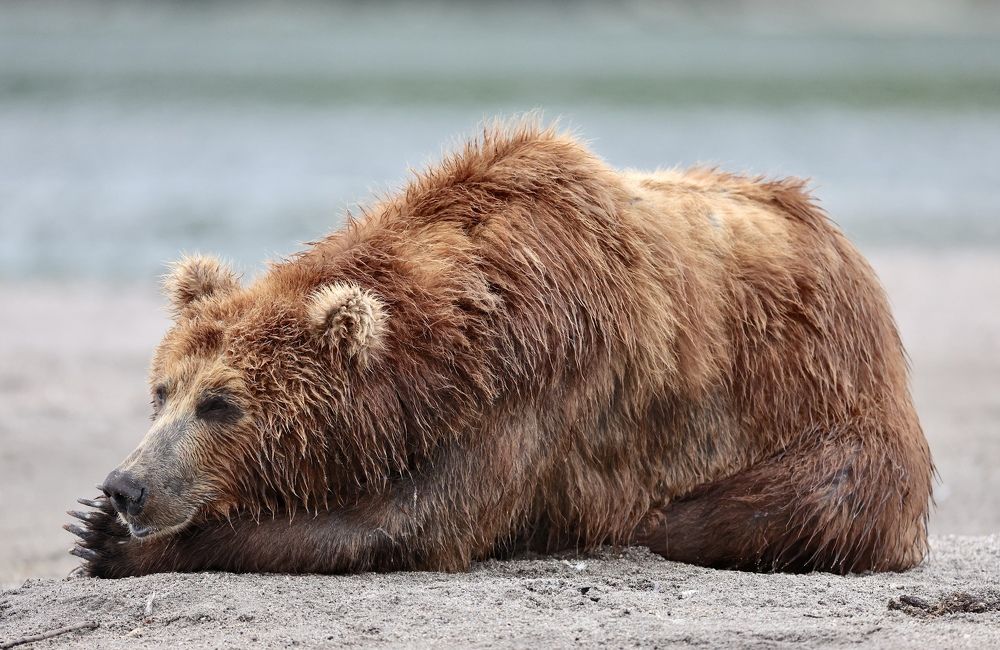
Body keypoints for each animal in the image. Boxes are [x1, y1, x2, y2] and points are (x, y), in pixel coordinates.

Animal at [67, 120, 933, 577]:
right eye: (161, 390)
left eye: (222, 403)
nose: (126, 486)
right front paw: (97, 524)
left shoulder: (548, 379)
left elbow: (413, 524)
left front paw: (120, 543)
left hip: (826, 409)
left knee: (774, 506)